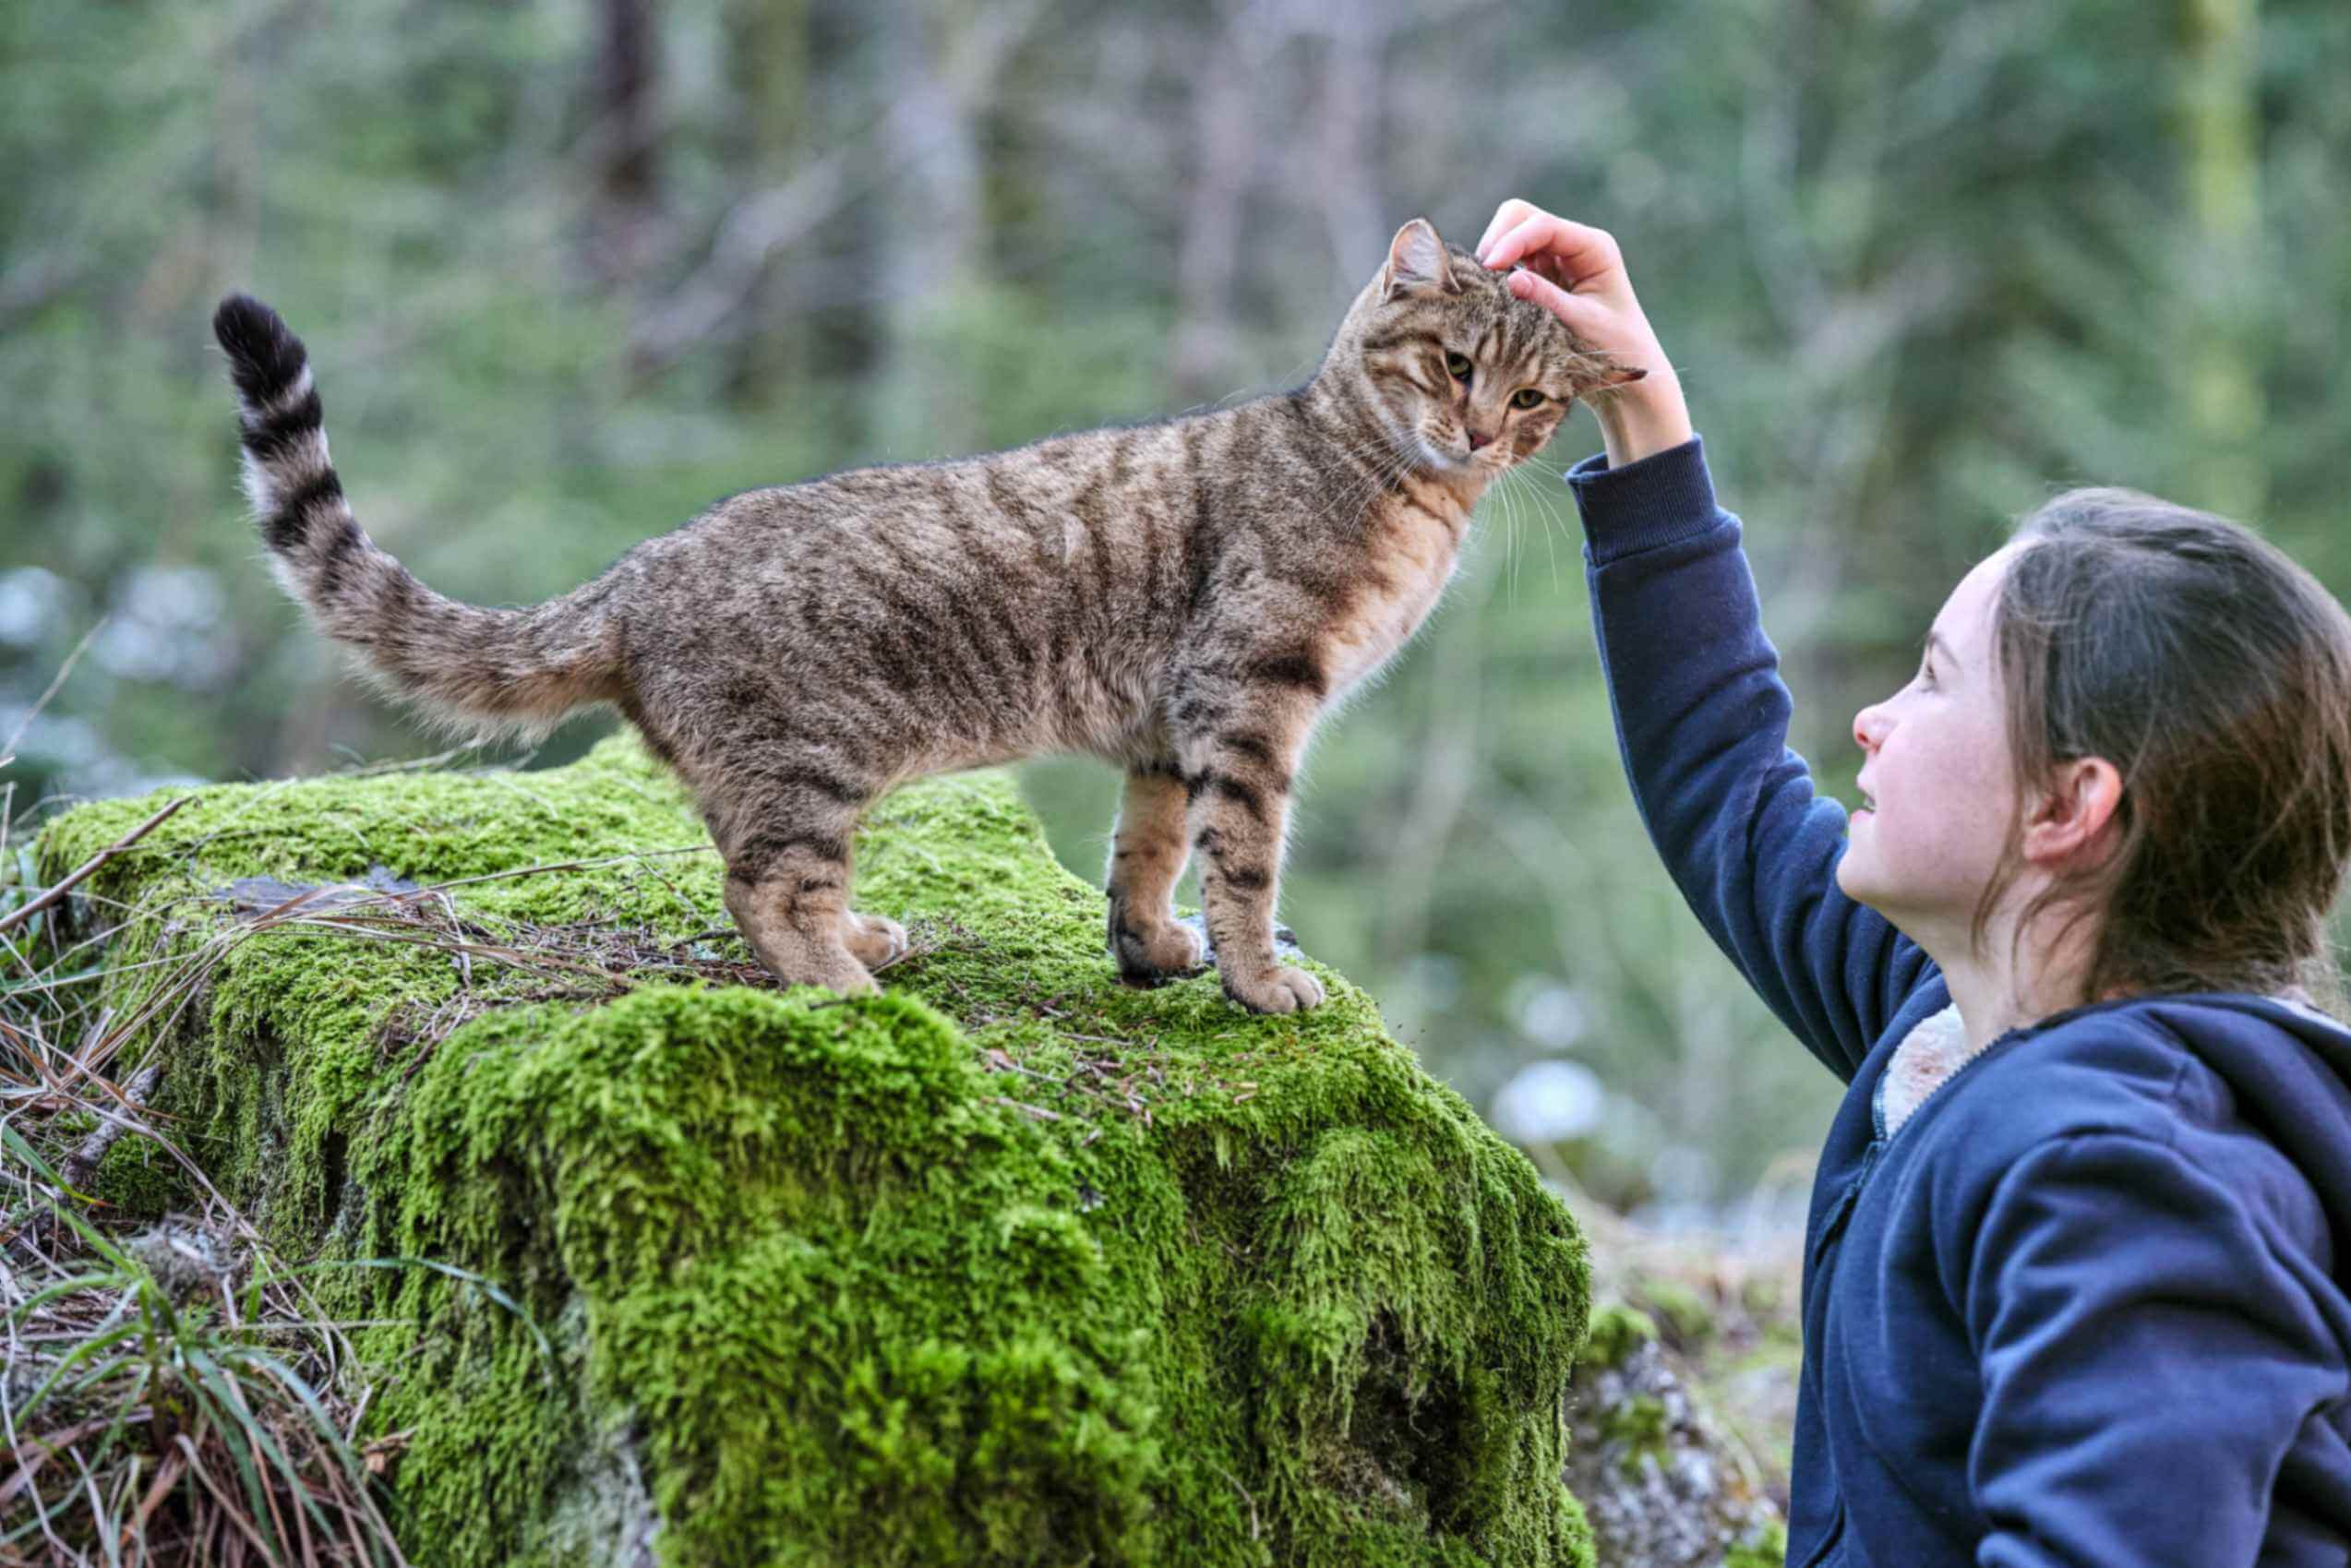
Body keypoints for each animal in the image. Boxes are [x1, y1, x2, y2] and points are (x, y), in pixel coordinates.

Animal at [216, 215, 1636, 1011]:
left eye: (1529, 400)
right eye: (1453, 363)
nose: (1476, 431)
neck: (1401, 491)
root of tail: (638, 571)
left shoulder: (1167, 726)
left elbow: (1146, 853)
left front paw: (1150, 952)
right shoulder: (1250, 694)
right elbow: (1243, 859)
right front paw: (1255, 977)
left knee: (761, 871)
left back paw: (864, 939)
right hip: (811, 761)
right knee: (759, 889)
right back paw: (848, 985)